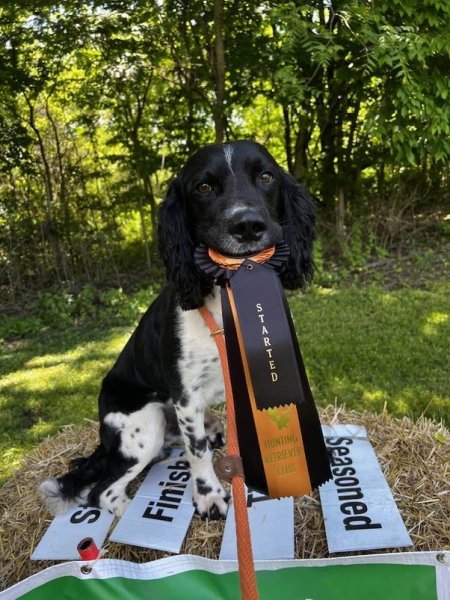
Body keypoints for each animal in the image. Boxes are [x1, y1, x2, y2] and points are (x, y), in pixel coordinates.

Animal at [38, 139, 314, 520]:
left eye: (266, 176)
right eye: (204, 187)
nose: (246, 225)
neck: (223, 299)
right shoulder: (186, 395)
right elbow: (197, 451)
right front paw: (209, 495)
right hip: (145, 427)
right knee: (101, 493)